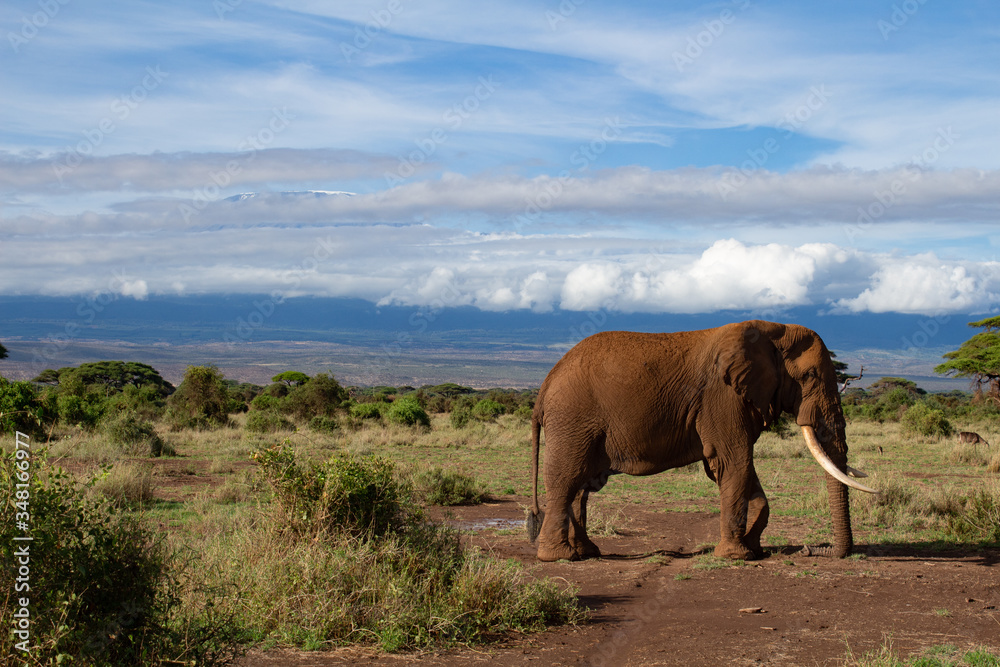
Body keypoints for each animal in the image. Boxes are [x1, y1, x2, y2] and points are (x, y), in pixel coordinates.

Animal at [527, 320, 877, 562]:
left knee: (582, 486)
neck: (773, 332)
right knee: (567, 479)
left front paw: (753, 549)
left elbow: (736, 469)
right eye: (810, 377)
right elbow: (733, 461)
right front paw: (736, 557)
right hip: (573, 419)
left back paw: (587, 551)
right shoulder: (722, 397)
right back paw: (561, 557)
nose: (808, 549)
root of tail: (544, 387)